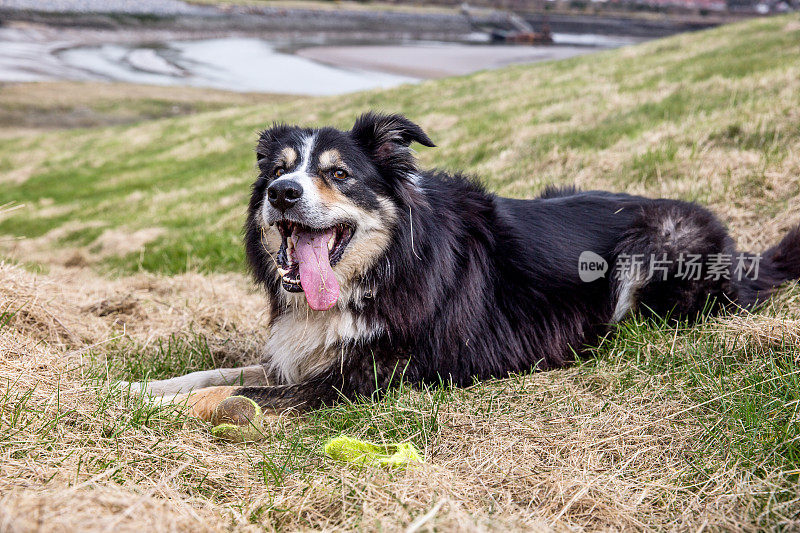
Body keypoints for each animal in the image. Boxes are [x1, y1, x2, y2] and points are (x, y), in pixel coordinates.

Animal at [125, 112, 800, 420]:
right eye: (279, 170)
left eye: (338, 174)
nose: (281, 194)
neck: (387, 267)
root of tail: (743, 257)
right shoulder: (310, 354)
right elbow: (218, 373)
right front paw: (137, 389)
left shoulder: (370, 378)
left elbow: (240, 391)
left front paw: (153, 412)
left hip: (655, 245)